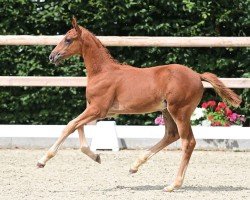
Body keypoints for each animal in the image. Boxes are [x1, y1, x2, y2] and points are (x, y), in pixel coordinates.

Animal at [38, 18, 241, 192]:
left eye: (68, 39)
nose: (52, 56)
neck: (102, 72)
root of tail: (197, 75)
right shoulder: (95, 109)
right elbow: (77, 127)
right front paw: (96, 157)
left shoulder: (98, 109)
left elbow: (70, 125)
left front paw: (42, 161)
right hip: (166, 111)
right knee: (171, 135)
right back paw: (134, 166)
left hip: (180, 111)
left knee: (188, 142)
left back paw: (172, 185)